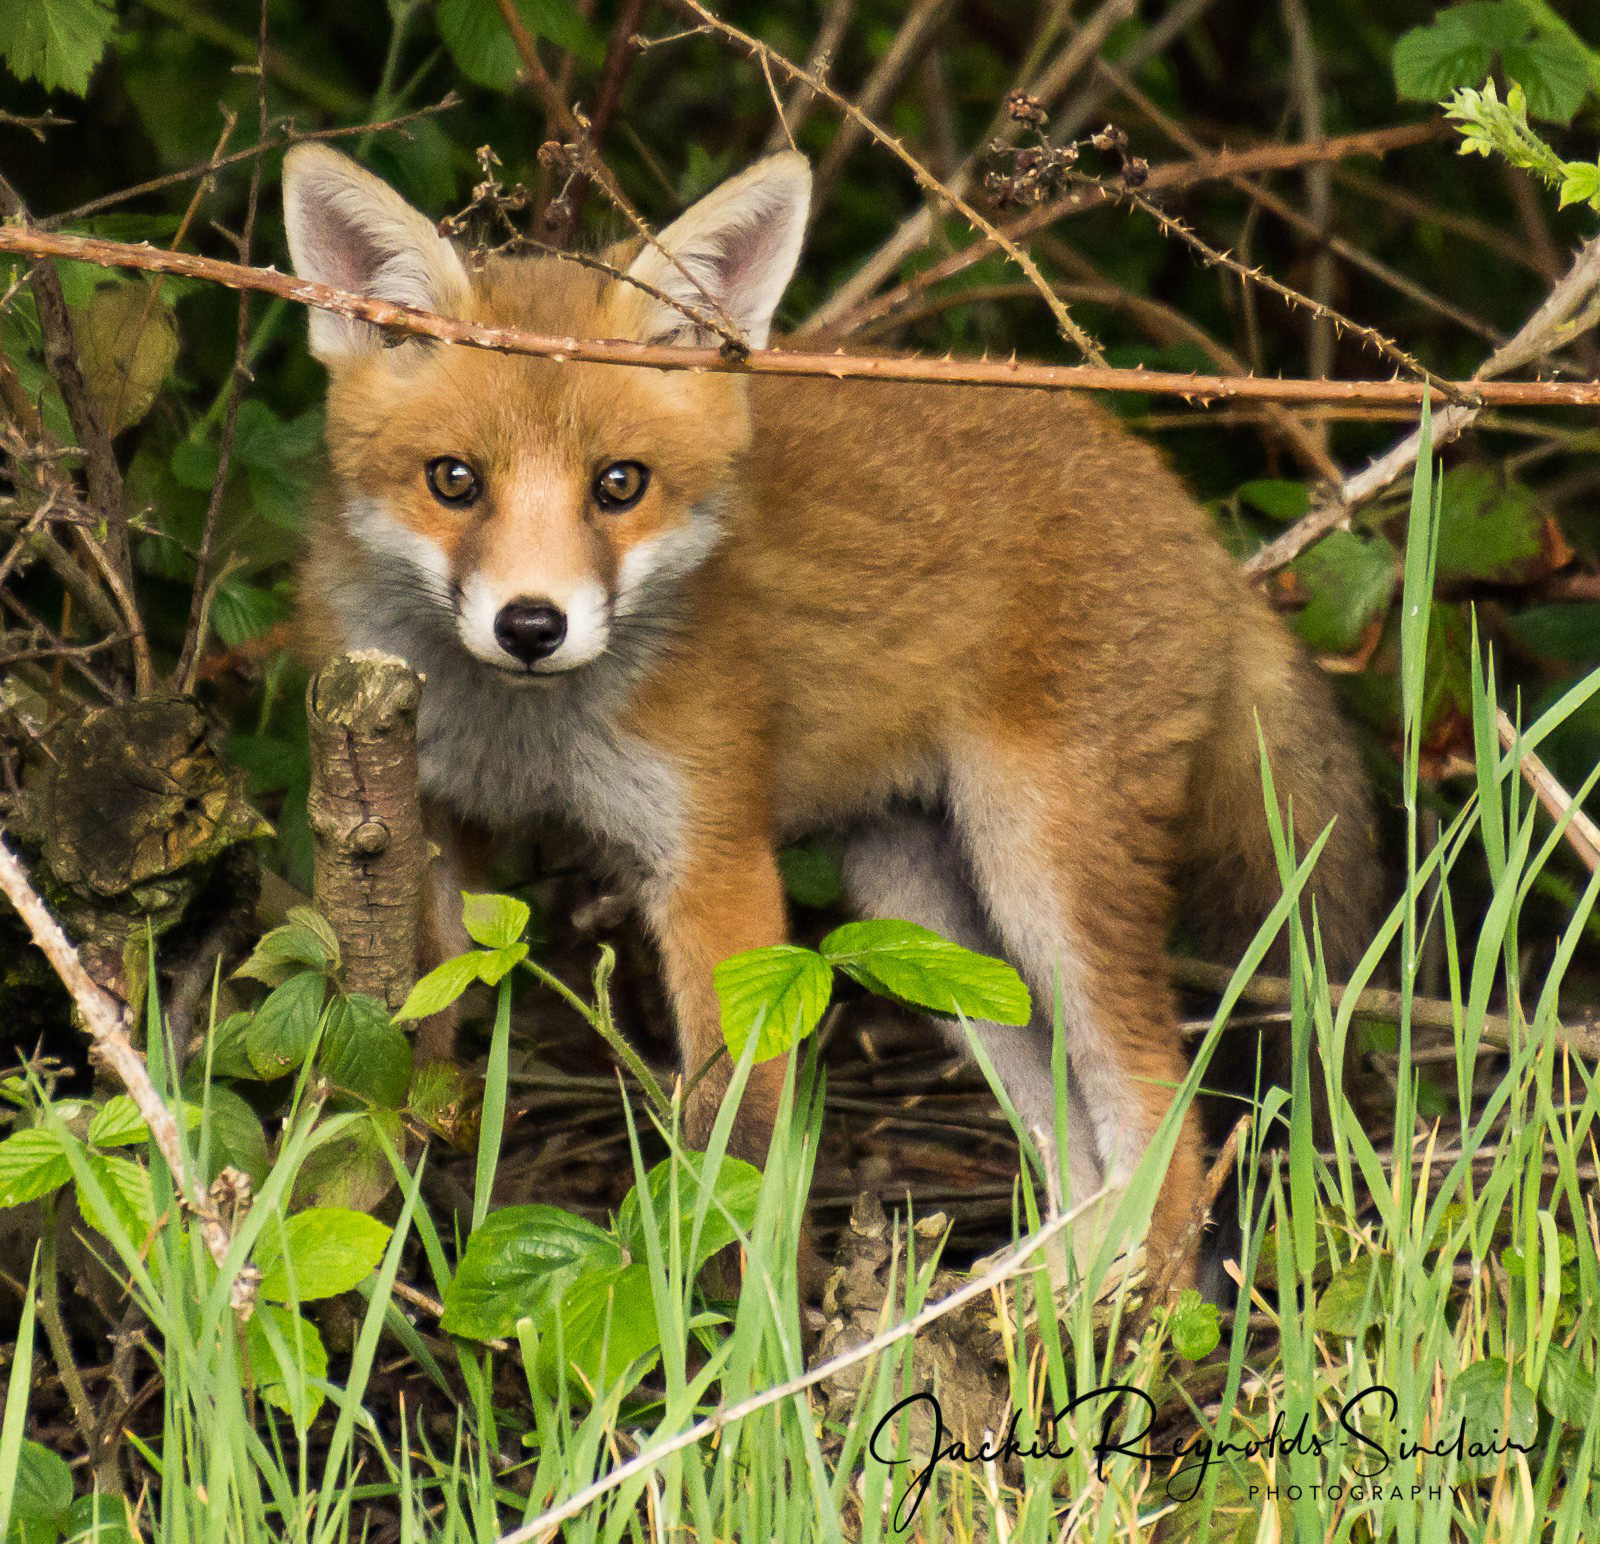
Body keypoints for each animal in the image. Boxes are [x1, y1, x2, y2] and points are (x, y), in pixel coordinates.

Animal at [283, 145, 1378, 1290]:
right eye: (453, 480)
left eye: (619, 485)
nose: (531, 624)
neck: (526, 734)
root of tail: (1195, 522)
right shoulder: (432, 828)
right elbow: (405, 1062)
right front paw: (373, 1236)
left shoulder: (711, 853)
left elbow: (738, 1136)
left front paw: (733, 1315)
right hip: (926, 906)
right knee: (1078, 1148)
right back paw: (1031, 1306)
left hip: (1038, 863)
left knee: (1161, 1108)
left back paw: (1136, 1311)